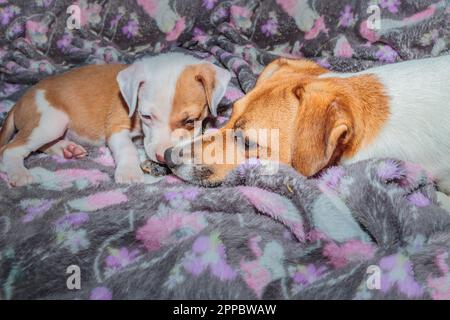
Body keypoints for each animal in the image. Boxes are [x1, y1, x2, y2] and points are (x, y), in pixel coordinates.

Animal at [0, 53, 230, 188]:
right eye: (146, 116)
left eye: (190, 121)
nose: (162, 157)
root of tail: (20, 101)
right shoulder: (116, 127)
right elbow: (127, 148)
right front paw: (129, 173)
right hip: (51, 121)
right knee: (12, 148)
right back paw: (19, 173)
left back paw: (66, 149)